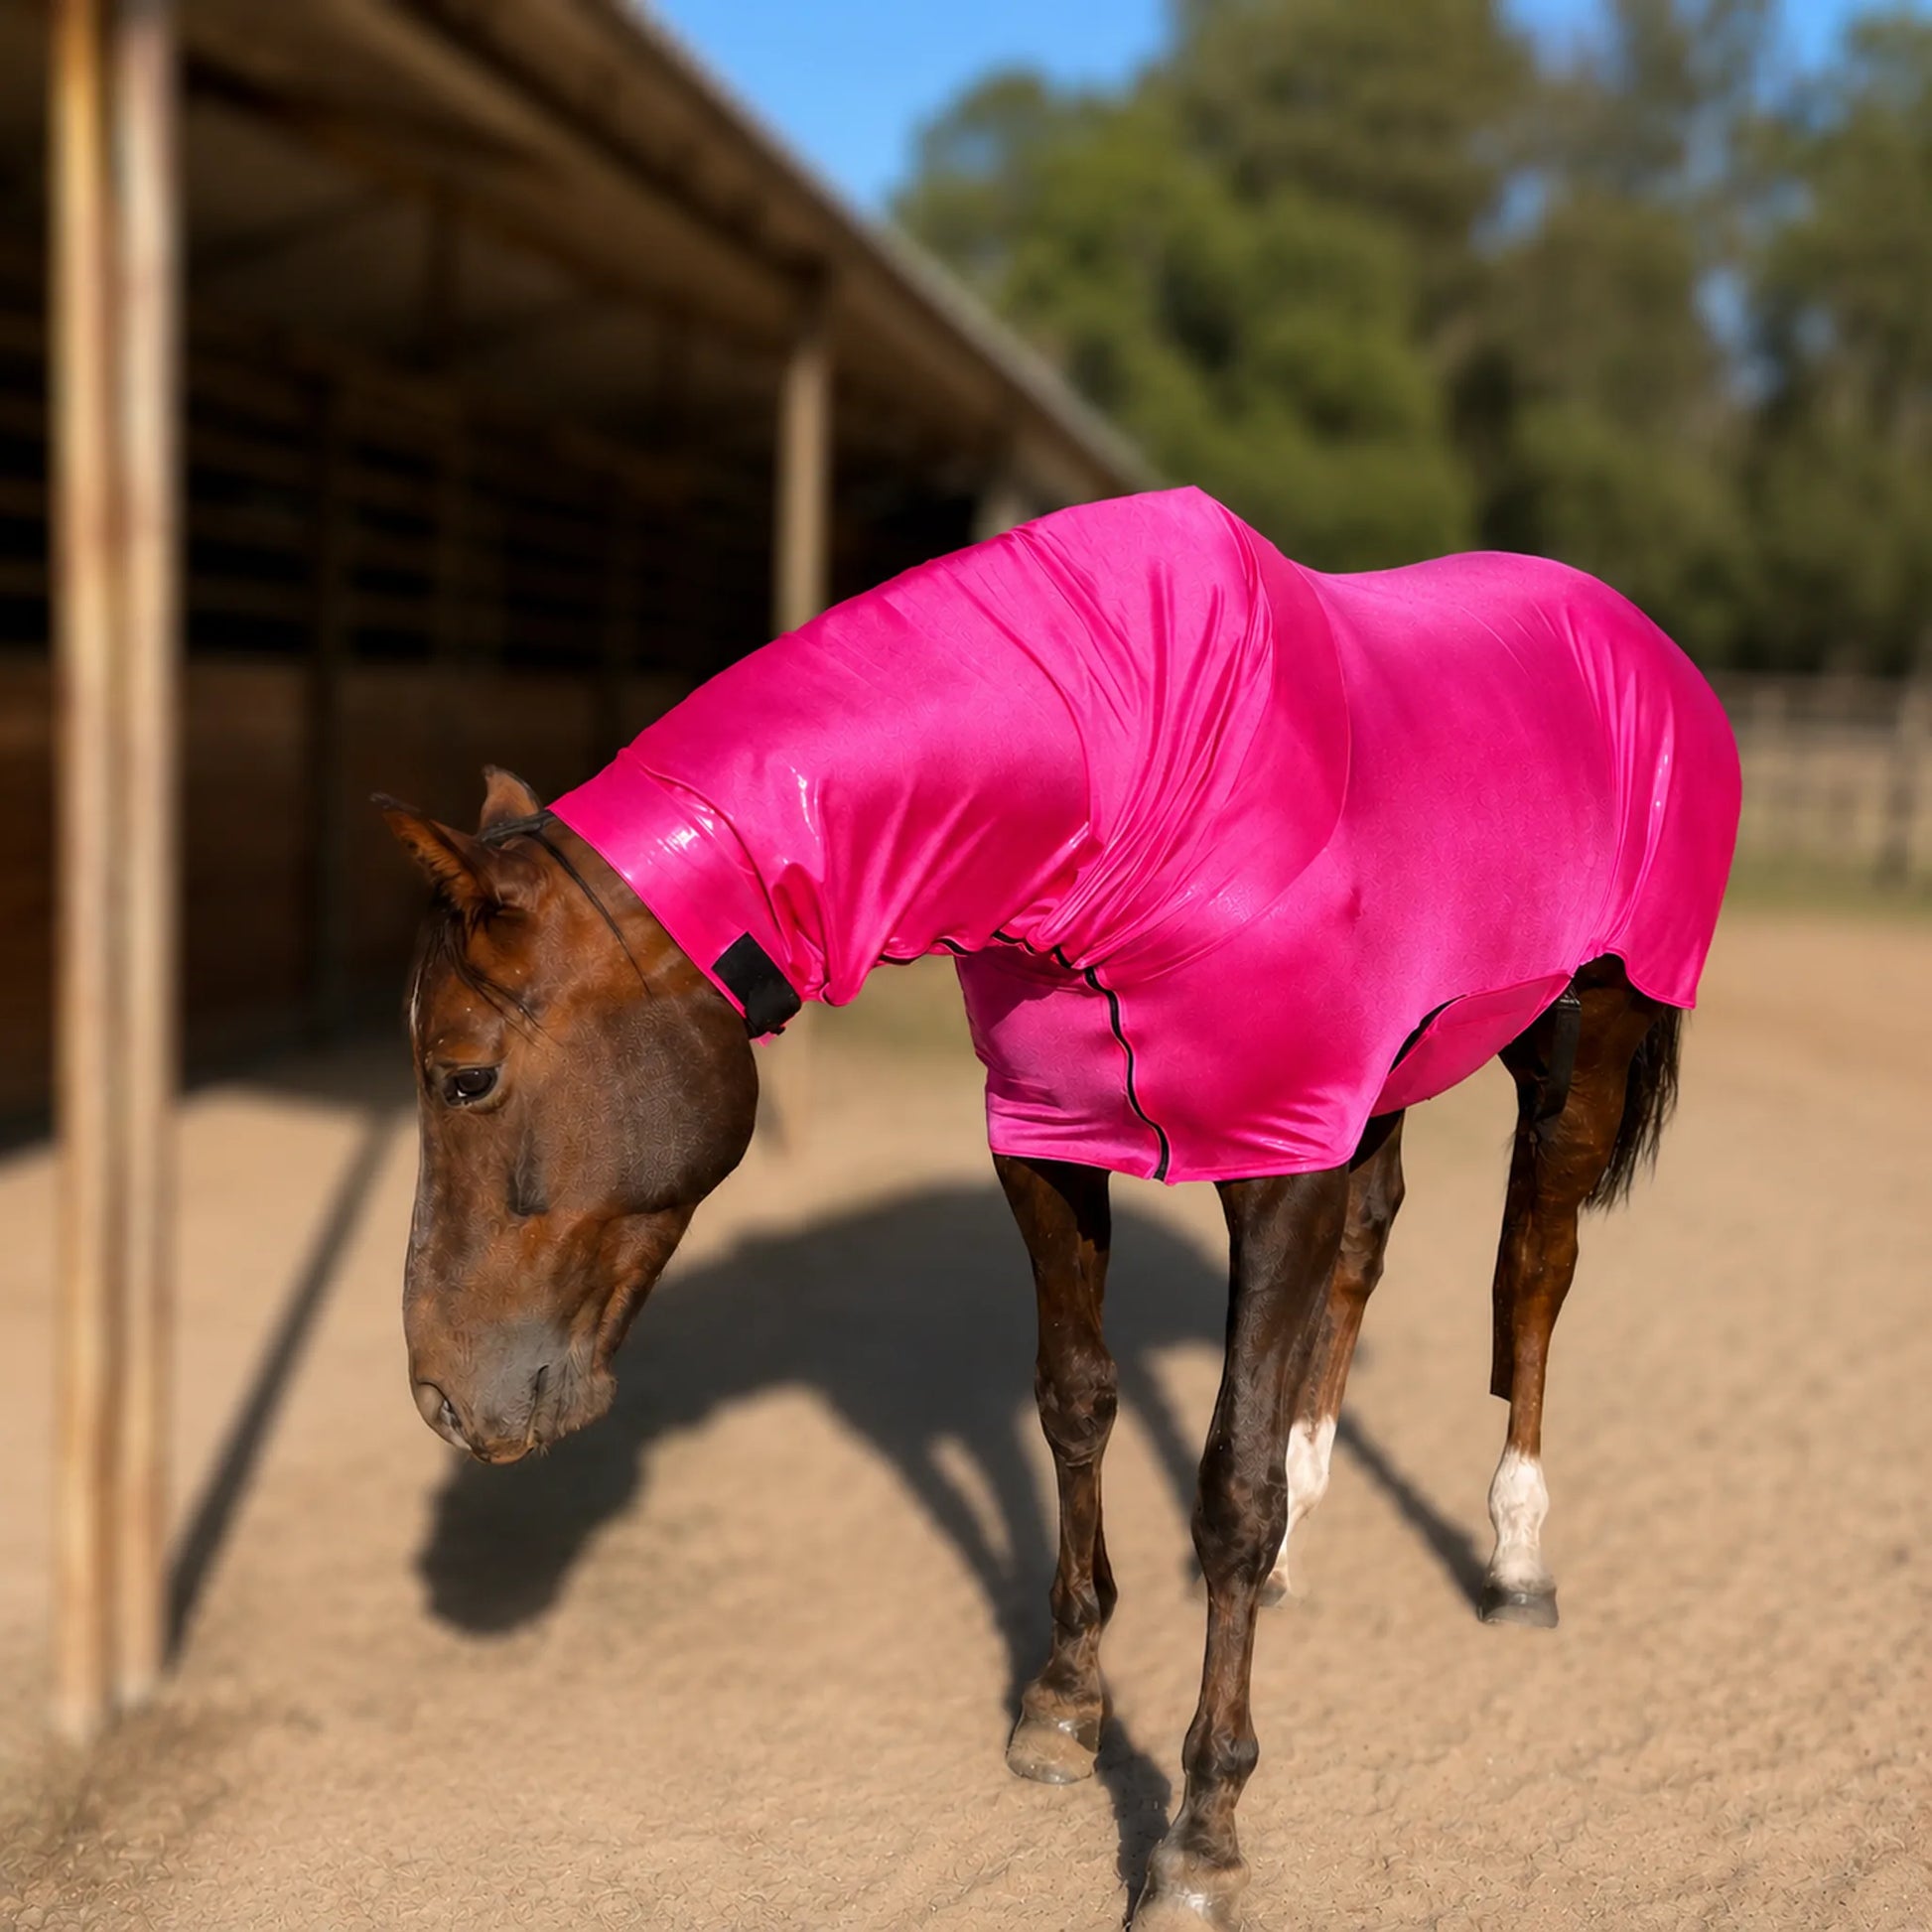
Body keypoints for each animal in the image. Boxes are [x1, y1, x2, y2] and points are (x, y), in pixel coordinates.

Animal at [380, 487, 1738, 1929]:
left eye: (463, 1075)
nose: (443, 1397)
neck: (1136, 780)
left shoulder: (1278, 1156)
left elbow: (1227, 1483)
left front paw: (1200, 1832)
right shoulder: (1049, 1135)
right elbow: (1075, 1403)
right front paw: (1067, 1701)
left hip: (1580, 1043)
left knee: (1532, 1269)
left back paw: (1515, 1561)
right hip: (1388, 1069)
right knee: (1370, 1240)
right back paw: (1310, 1537)